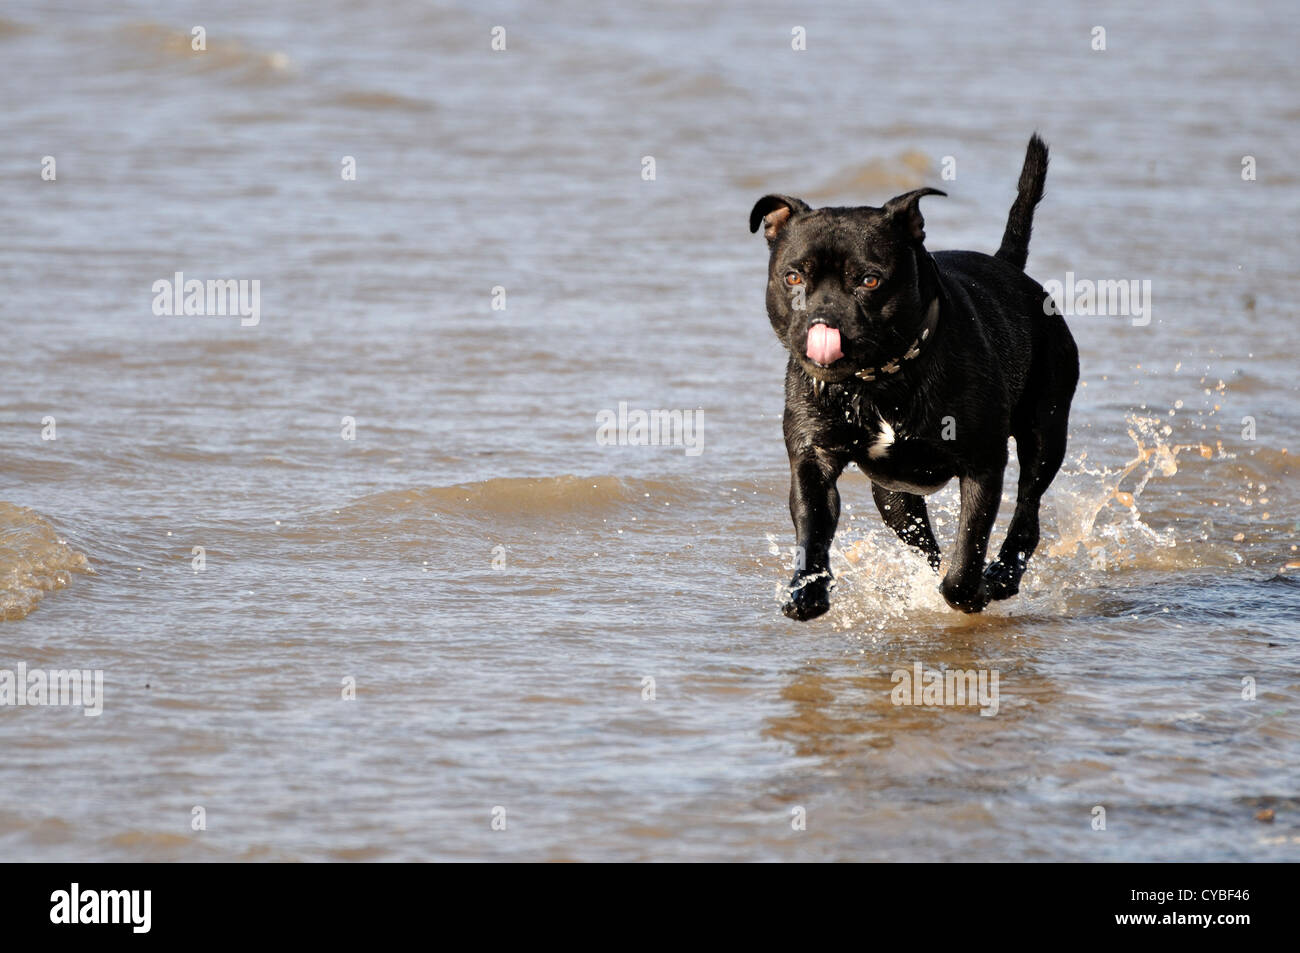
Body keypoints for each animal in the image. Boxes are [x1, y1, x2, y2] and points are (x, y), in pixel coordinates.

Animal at [754, 137, 1076, 621]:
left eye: (870, 280)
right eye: (792, 276)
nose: (822, 321)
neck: (875, 381)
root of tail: (1011, 269)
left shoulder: (983, 464)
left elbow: (970, 545)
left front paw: (971, 591)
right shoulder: (812, 460)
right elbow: (812, 526)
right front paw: (806, 591)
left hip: (1046, 431)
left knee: (1028, 508)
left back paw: (1001, 575)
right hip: (893, 497)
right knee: (925, 542)